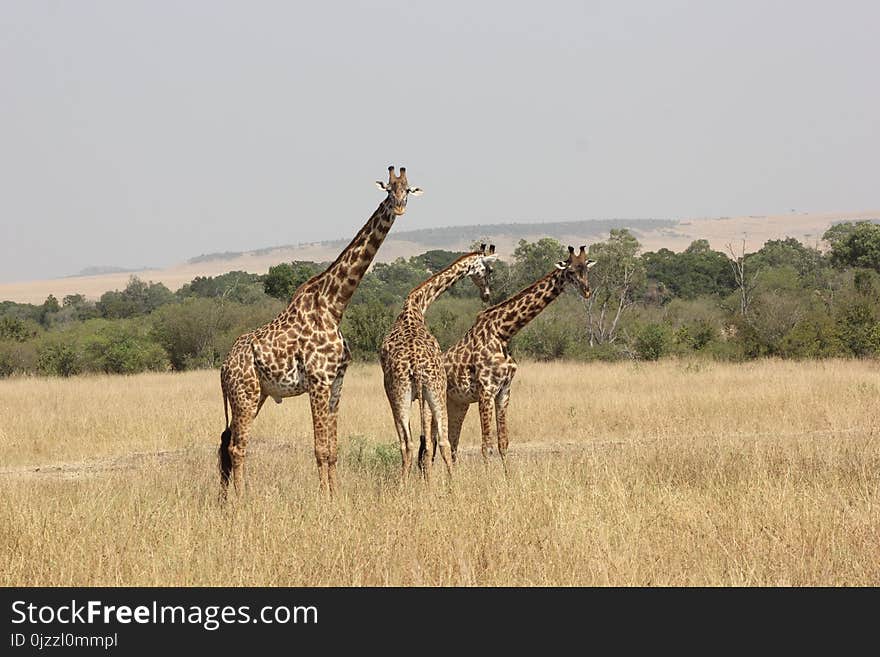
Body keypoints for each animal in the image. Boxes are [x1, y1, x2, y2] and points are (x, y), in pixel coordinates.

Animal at [222, 164, 424, 498]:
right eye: (388, 189)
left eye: (407, 189)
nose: (399, 207)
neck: (334, 305)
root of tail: (223, 367)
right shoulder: (317, 381)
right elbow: (319, 448)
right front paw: (323, 499)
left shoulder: (337, 382)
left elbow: (332, 450)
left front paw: (335, 495)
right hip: (244, 394)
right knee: (237, 447)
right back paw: (241, 500)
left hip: (258, 394)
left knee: (230, 443)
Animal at [378, 243, 498, 480]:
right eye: (489, 271)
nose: (487, 295)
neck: (417, 304)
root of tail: (415, 367)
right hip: (432, 391)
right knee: (441, 441)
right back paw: (449, 484)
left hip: (404, 393)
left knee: (409, 444)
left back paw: (408, 485)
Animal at [444, 245, 596, 462]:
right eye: (571, 271)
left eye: (586, 270)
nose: (586, 291)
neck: (503, 332)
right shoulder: (486, 391)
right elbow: (487, 445)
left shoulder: (504, 391)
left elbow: (503, 443)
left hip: (458, 403)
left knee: (451, 441)